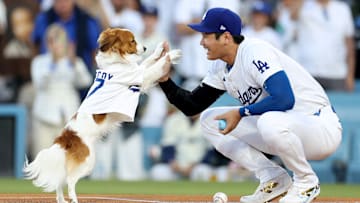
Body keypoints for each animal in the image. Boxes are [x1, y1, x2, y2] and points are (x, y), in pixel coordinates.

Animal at [22, 28, 181, 203]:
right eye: (132, 41)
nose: (145, 47)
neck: (116, 63)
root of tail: (66, 137)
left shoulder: (136, 71)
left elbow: (147, 61)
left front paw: (159, 50)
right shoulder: (140, 77)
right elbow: (154, 66)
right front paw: (171, 55)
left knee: (60, 181)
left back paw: (61, 200)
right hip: (87, 161)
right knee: (70, 181)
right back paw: (74, 199)